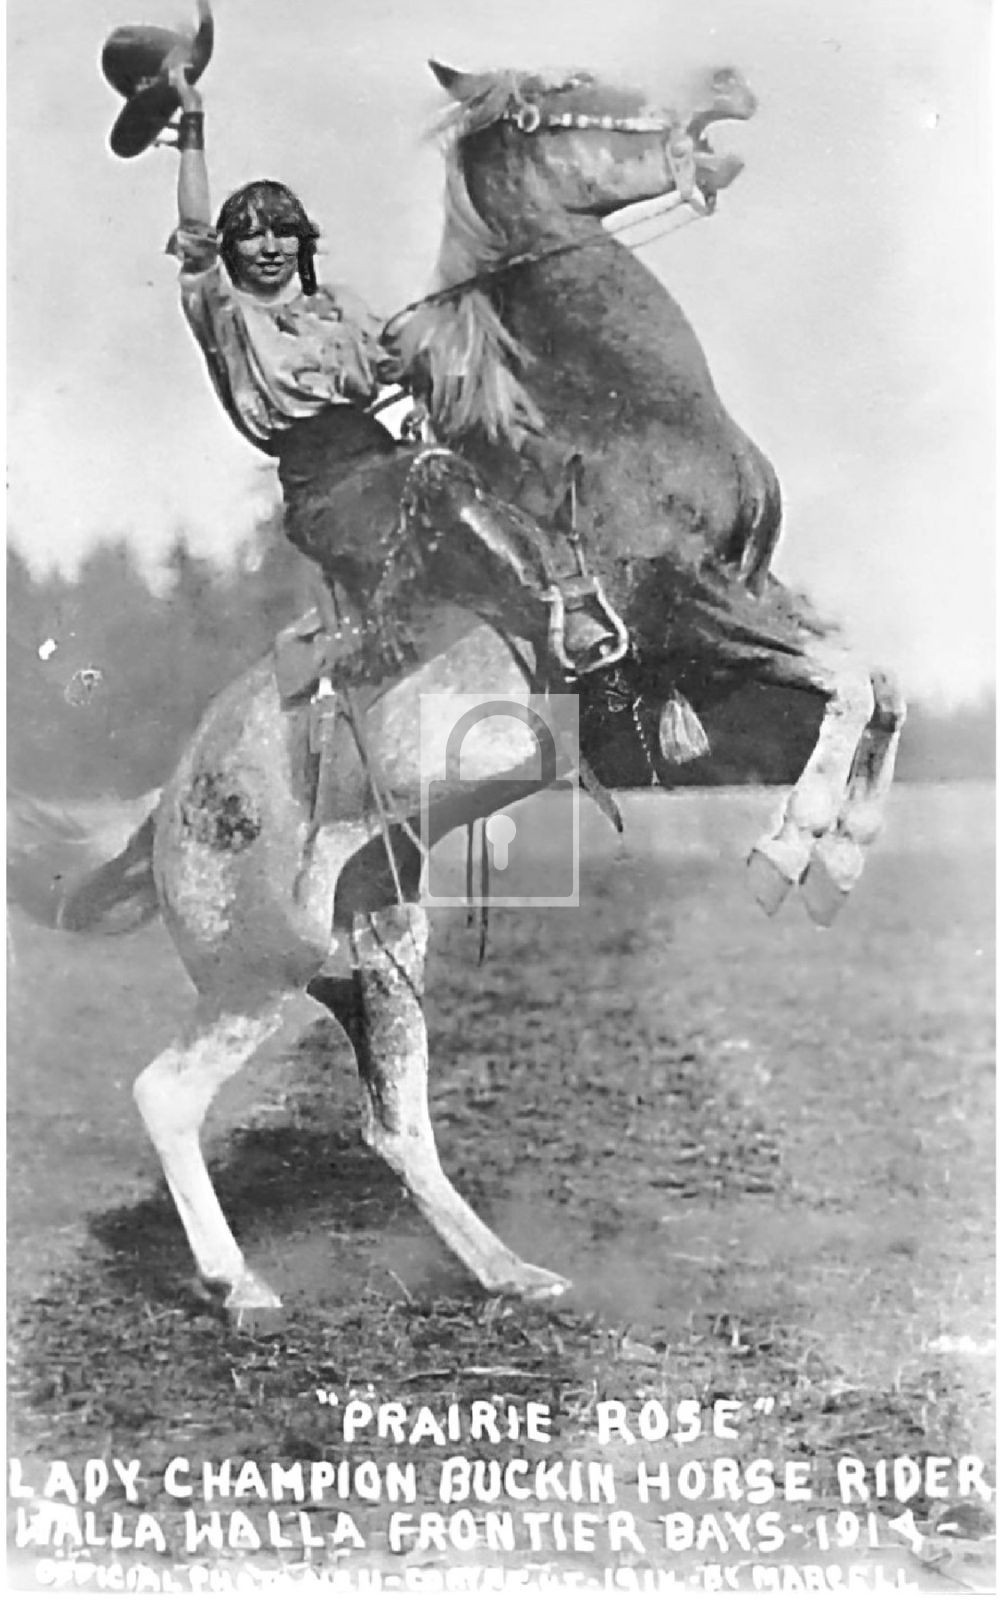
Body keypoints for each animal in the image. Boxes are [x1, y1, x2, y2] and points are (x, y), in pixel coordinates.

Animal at [10, 60, 904, 1328]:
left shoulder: (713, 701)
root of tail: (170, 799)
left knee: (395, 1122)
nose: (729, 86)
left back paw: (509, 1271)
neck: (620, 423)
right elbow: (846, 684)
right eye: (560, 93)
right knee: (167, 1092)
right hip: (259, 964)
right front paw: (790, 855)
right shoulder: (688, 613)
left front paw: (836, 857)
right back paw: (243, 1286)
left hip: (380, 939)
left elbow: (872, 687)